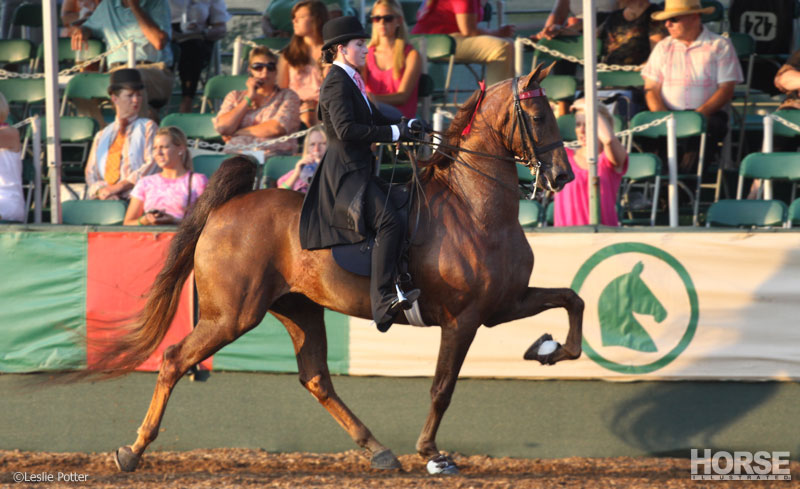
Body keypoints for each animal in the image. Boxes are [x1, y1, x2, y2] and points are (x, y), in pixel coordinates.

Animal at [100, 63, 584, 474]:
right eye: (537, 116)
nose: (563, 177)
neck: (475, 210)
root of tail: (227, 208)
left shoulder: (502, 304)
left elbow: (572, 301)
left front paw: (546, 350)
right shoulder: (463, 319)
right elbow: (442, 387)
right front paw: (432, 454)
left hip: (298, 308)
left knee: (316, 379)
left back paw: (379, 450)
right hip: (231, 315)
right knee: (174, 360)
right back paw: (132, 451)